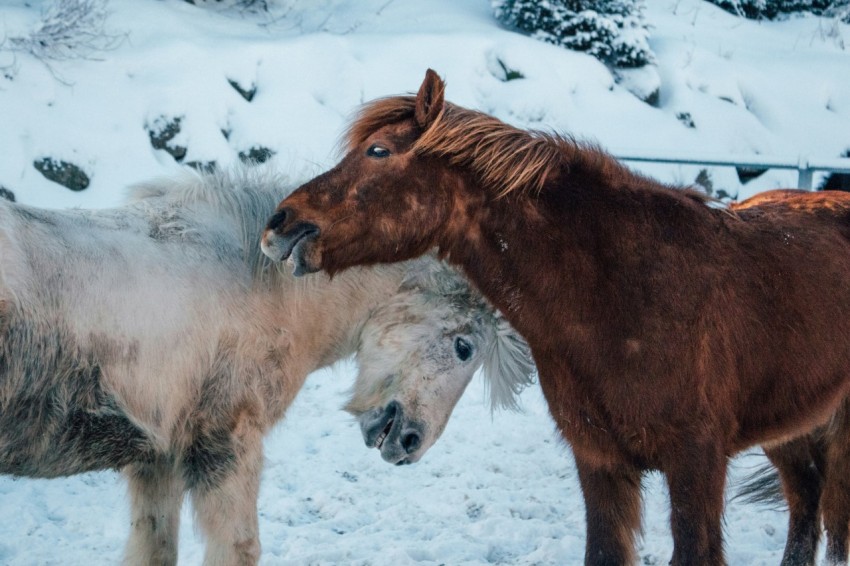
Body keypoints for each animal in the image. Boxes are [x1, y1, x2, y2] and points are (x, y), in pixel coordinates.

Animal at [0, 165, 534, 566]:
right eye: (465, 347)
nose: (410, 442)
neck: (264, 283)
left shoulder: (157, 462)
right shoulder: (227, 450)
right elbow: (238, 549)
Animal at [261, 69, 850, 565]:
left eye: (378, 150)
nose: (281, 224)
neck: (621, 294)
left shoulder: (696, 466)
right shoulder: (600, 464)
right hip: (791, 426)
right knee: (806, 505)